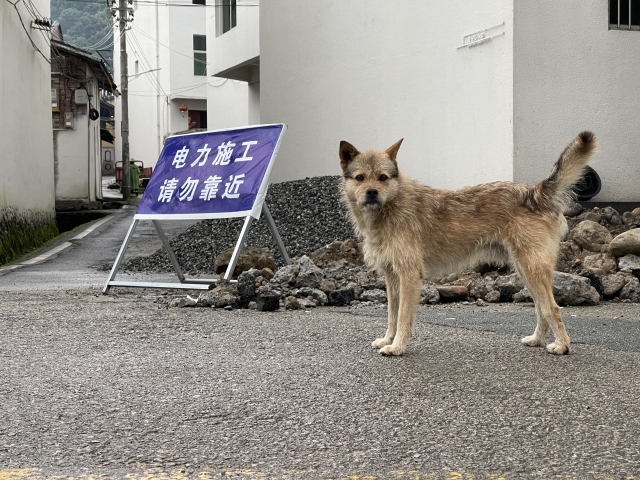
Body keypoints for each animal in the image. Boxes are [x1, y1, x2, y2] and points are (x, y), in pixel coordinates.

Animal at [340, 131, 596, 356]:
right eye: (360, 177)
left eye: (383, 177)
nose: (371, 192)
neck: (391, 207)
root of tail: (535, 192)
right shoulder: (392, 277)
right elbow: (392, 315)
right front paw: (388, 340)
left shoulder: (409, 275)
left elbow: (403, 317)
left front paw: (397, 347)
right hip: (526, 272)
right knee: (541, 308)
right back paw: (537, 340)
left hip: (532, 270)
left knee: (552, 308)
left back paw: (562, 346)